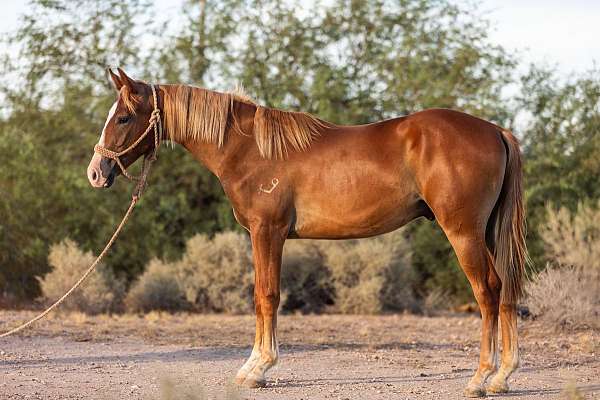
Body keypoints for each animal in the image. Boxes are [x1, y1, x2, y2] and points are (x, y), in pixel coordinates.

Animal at [88, 69, 524, 396]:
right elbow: (263, 296)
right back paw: (502, 377)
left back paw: (481, 378)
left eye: (123, 117)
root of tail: (495, 130)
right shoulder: (265, 234)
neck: (248, 148)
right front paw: (255, 365)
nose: (95, 173)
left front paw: (257, 369)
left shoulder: (267, 231)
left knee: (487, 291)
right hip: (485, 233)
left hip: (463, 232)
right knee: (505, 288)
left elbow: (265, 296)